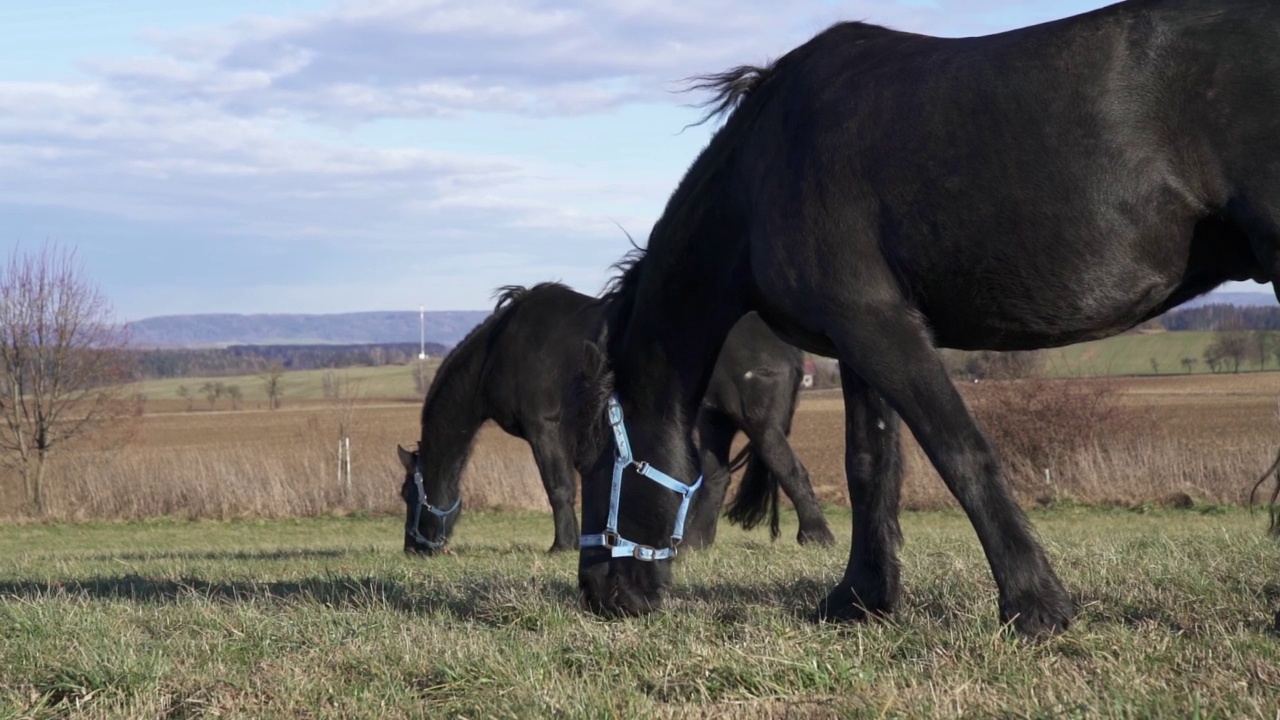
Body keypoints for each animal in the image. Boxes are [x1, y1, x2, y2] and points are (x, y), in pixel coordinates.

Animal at [394, 283, 829, 550]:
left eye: (406, 494)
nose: (413, 548)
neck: (501, 349)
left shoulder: (544, 428)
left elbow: (558, 488)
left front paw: (562, 545)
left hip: (759, 424)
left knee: (789, 469)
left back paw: (815, 535)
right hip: (714, 422)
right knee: (718, 477)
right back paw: (693, 543)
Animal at [570, 0, 1280, 635]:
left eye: (596, 460)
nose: (598, 593)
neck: (764, 167)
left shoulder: (880, 326)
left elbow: (958, 451)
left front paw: (1034, 607)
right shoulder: (854, 340)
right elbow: (869, 463)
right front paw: (860, 598)